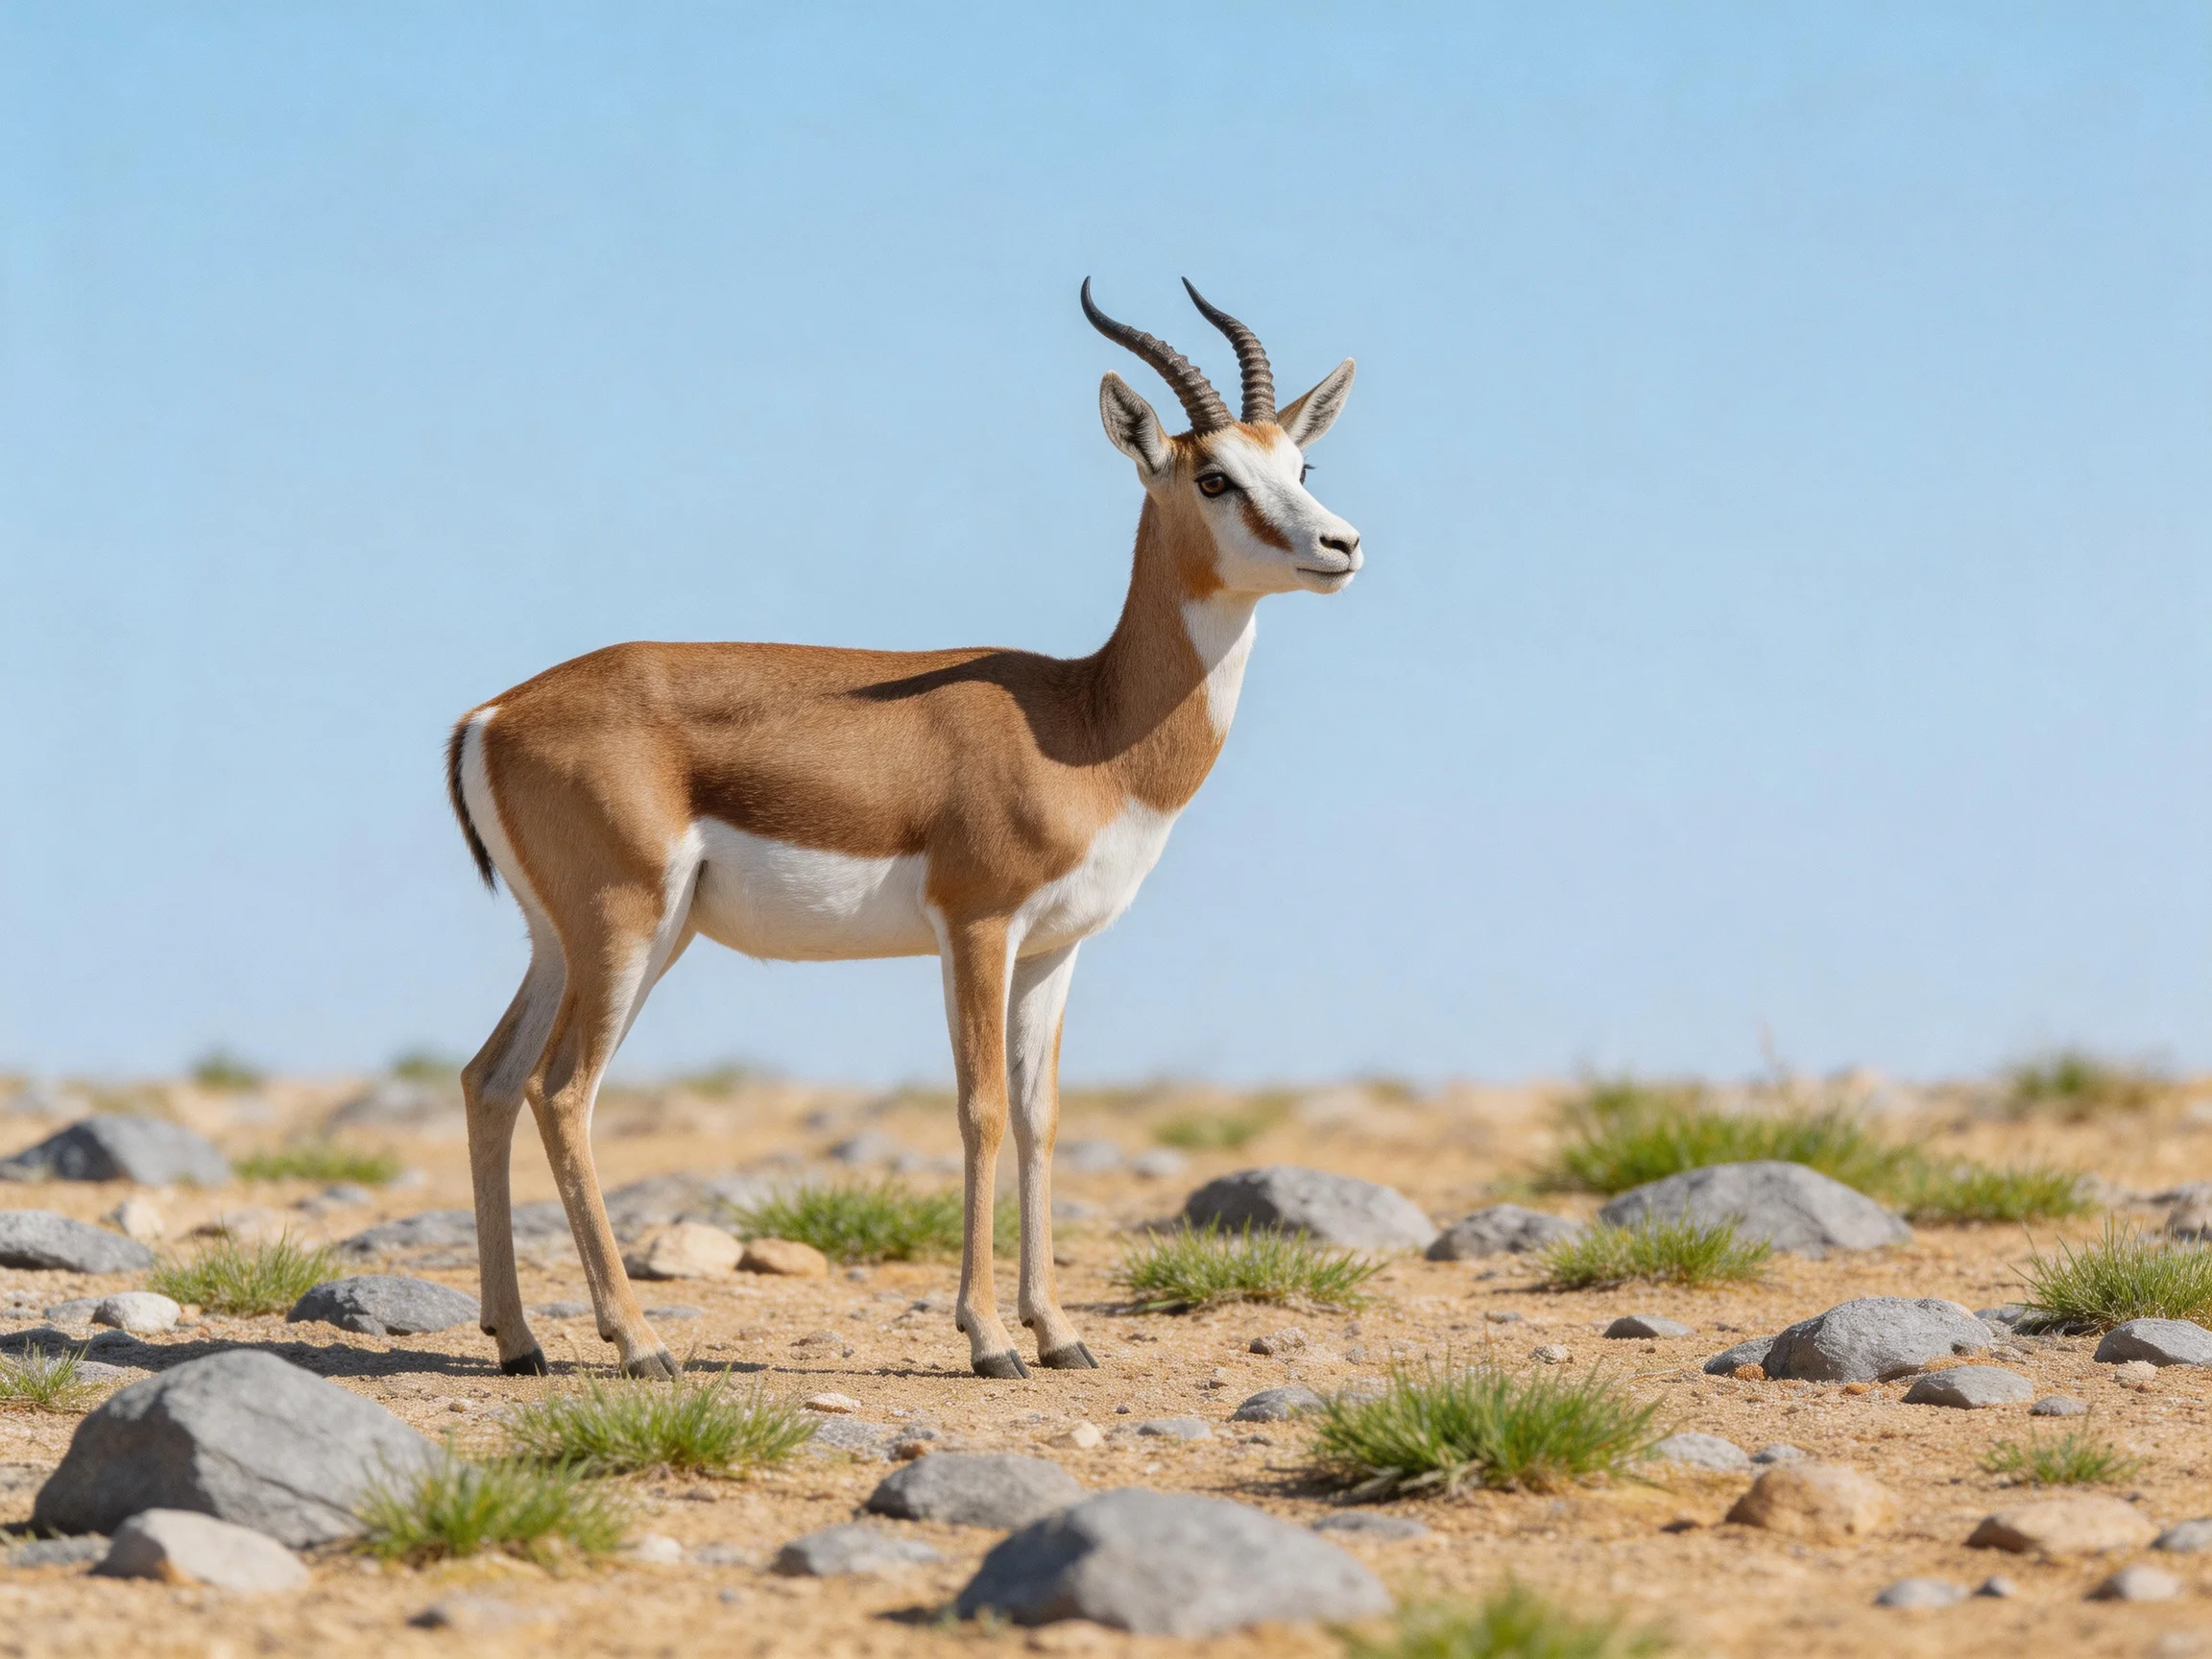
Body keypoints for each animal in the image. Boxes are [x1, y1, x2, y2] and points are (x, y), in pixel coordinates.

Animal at [444, 281, 1361, 1379]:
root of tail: (490, 714)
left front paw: (1059, 1333)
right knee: (563, 1092)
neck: (1088, 726)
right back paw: (638, 1343)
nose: (1342, 547)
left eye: (1302, 467)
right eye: (1216, 478)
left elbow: (1041, 1117)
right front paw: (990, 1339)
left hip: (568, 942)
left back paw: (519, 1341)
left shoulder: (1055, 950)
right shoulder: (976, 927)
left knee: (491, 1080)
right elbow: (980, 1113)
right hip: (625, 930)